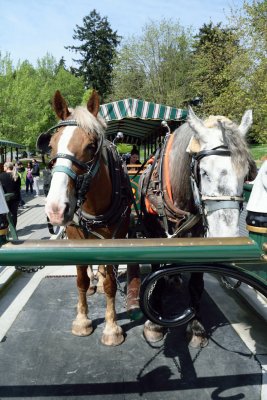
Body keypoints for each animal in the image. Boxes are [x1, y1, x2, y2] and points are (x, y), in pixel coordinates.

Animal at [38, 90, 133, 344]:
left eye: (91, 146)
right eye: (51, 145)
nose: (56, 209)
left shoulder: (115, 239)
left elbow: (110, 284)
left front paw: (111, 327)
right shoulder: (74, 236)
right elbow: (80, 280)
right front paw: (82, 320)